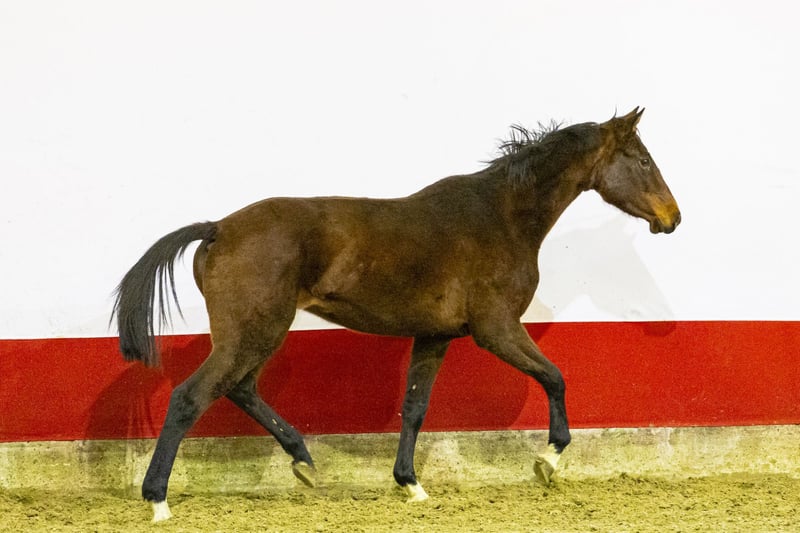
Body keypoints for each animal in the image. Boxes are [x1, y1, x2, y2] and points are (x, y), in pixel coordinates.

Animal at [112, 108, 680, 522]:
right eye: (642, 160)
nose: (673, 218)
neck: (500, 218)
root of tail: (217, 229)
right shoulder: (496, 329)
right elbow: (555, 377)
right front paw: (548, 461)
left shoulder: (435, 335)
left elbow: (415, 407)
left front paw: (411, 485)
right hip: (254, 332)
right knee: (192, 397)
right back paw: (158, 500)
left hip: (257, 335)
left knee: (240, 389)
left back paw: (305, 463)